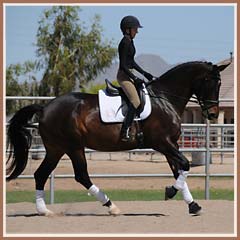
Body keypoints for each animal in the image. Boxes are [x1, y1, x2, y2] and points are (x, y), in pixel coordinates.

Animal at [6, 59, 231, 216]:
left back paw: (44, 210)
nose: (213, 114)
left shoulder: (171, 144)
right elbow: (184, 165)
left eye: (219, 84)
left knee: (43, 175)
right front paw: (170, 192)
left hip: (57, 149)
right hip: (72, 147)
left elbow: (179, 170)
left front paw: (193, 205)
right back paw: (111, 206)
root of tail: (45, 108)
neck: (165, 98)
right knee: (80, 175)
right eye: (211, 83)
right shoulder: (162, 143)